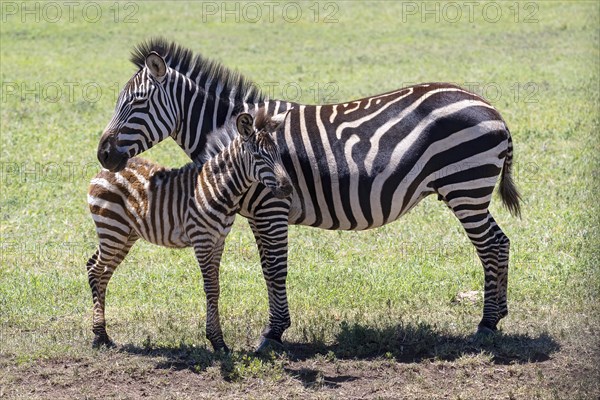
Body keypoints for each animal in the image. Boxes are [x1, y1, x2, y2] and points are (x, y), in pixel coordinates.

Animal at [87, 110, 292, 350]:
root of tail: (103, 171)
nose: (288, 188)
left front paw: (217, 340)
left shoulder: (219, 240)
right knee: (95, 269)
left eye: (278, 154)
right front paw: (217, 341)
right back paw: (99, 335)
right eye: (259, 156)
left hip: (125, 234)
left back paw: (103, 334)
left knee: (101, 271)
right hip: (113, 230)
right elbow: (210, 287)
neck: (219, 187)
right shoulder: (202, 239)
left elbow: (216, 287)